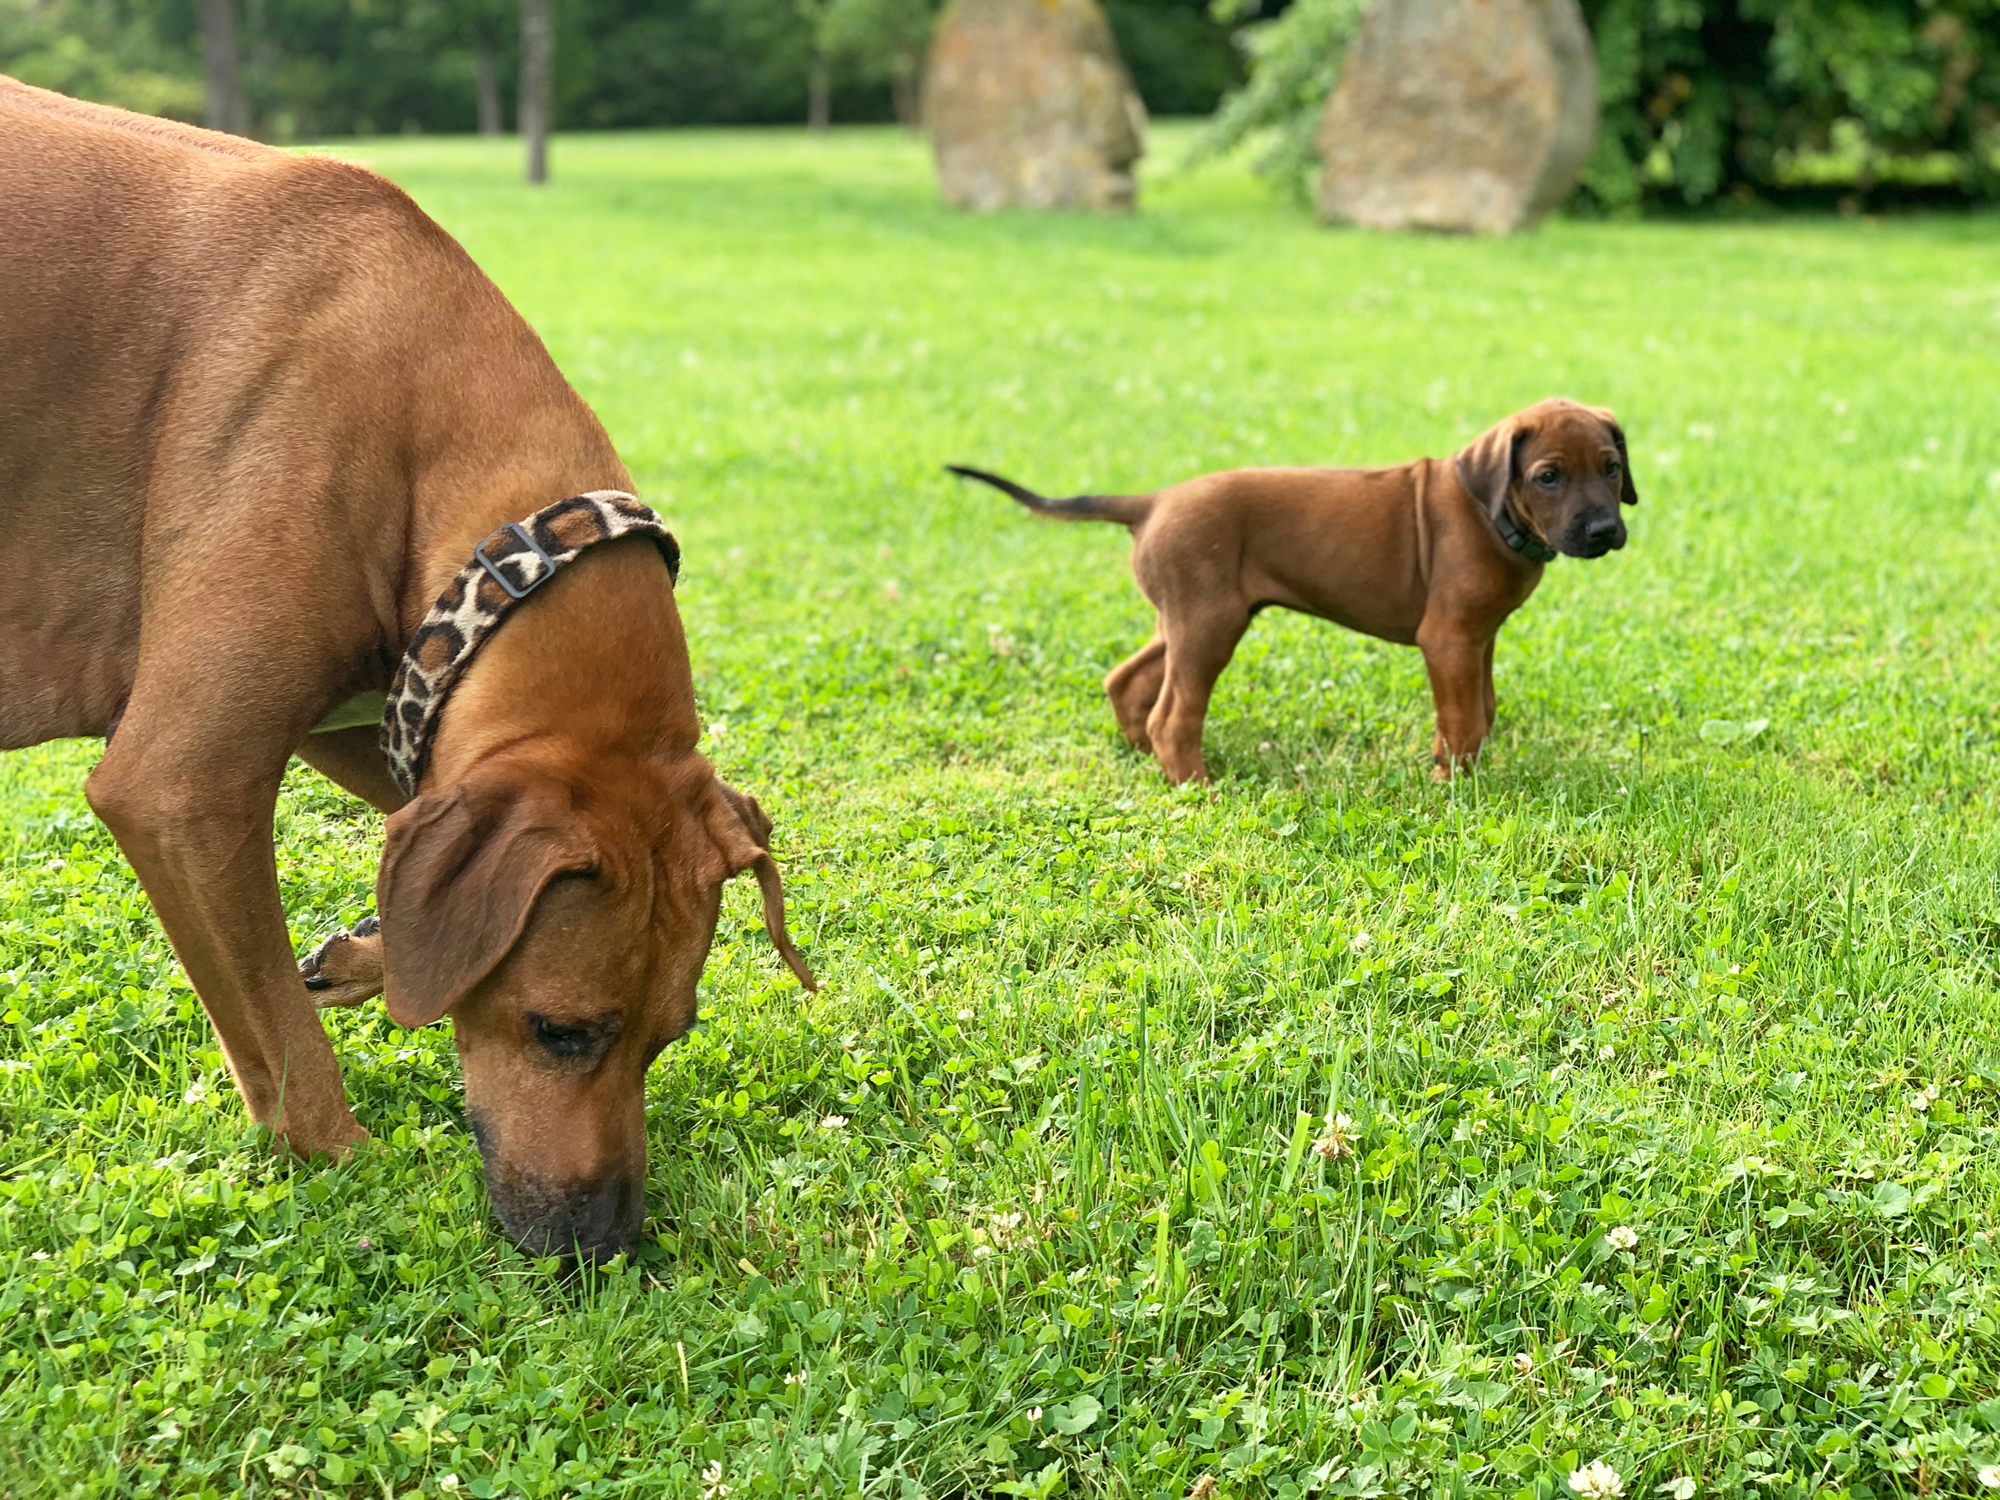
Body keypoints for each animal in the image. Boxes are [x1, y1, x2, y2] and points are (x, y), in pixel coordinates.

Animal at [0, 77, 813, 1263]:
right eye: (562, 1033)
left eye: (674, 1034)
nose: (607, 1244)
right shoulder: (181, 784)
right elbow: (279, 1033)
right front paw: (345, 1162)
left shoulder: (388, 708)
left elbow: (397, 893)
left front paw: (373, 953)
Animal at [952, 399, 1635, 783]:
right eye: (1548, 476)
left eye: (1611, 468)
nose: (1604, 531)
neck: (1491, 513)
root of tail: (1153, 502)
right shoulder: (1449, 639)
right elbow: (1465, 721)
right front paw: (1455, 787)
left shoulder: (1477, 638)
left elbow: (1479, 711)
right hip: (1209, 625)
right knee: (1174, 714)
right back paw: (1195, 787)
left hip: (1184, 618)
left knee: (1127, 680)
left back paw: (1143, 756)